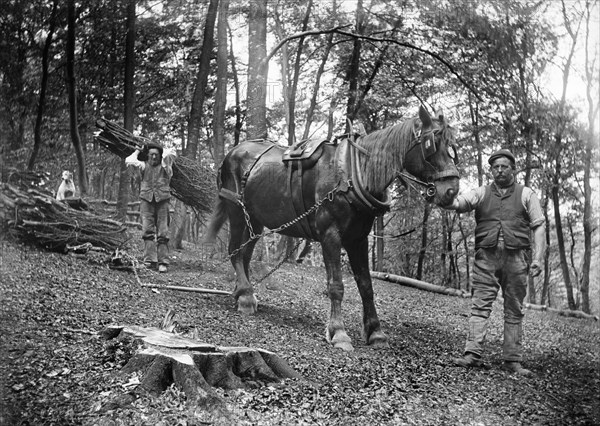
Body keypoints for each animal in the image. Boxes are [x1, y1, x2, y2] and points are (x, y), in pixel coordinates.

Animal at [205, 105, 460, 350]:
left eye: (451, 145)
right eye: (431, 143)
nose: (452, 190)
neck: (353, 173)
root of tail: (232, 152)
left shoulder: (358, 239)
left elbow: (366, 286)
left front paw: (375, 332)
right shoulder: (330, 235)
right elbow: (336, 285)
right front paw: (338, 332)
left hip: (256, 221)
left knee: (245, 255)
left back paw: (242, 292)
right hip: (237, 211)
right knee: (234, 251)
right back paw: (246, 297)